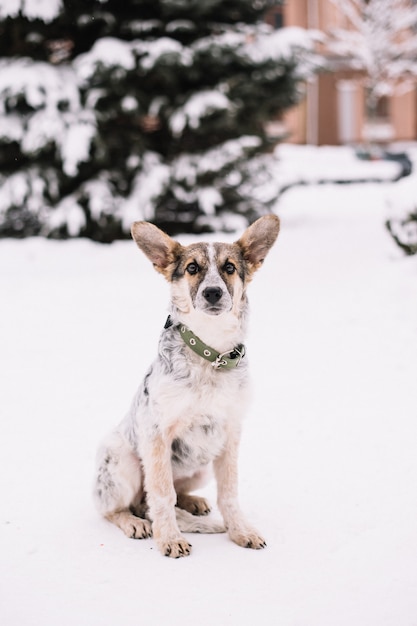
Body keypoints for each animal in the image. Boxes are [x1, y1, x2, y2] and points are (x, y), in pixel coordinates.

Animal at [94, 214, 280, 556]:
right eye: (192, 268)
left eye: (229, 267)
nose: (212, 293)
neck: (210, 355)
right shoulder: (157, 434)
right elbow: (162, 494)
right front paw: (169, 538)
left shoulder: (231, 433)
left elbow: (229, 492)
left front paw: (240, 530)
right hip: (121, 461)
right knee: (122, 507)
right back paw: (135, 522)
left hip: (202, 465)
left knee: (170, 496)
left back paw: (194, 505)